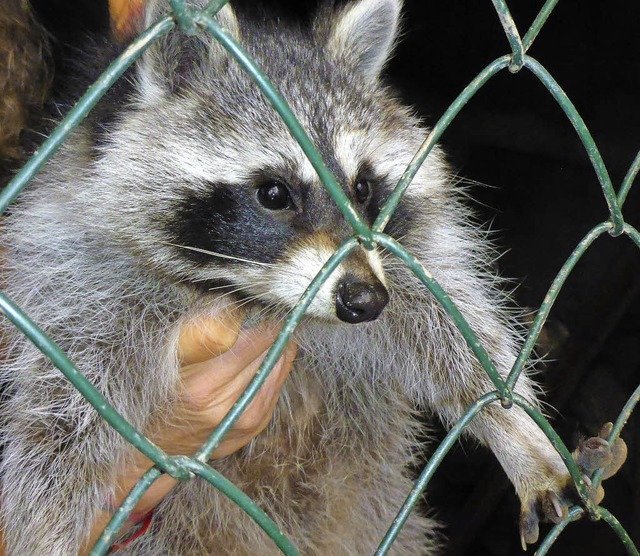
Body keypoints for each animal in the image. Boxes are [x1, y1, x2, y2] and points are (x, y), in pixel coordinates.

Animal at [0, 1, 616, 556]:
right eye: (274, 194)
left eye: (362, 188)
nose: (365, 302)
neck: (247, 295)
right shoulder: (74, 274)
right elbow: (55, 423)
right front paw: (45, 527)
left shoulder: (391, 254)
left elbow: (448, 322)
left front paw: (513, 429)